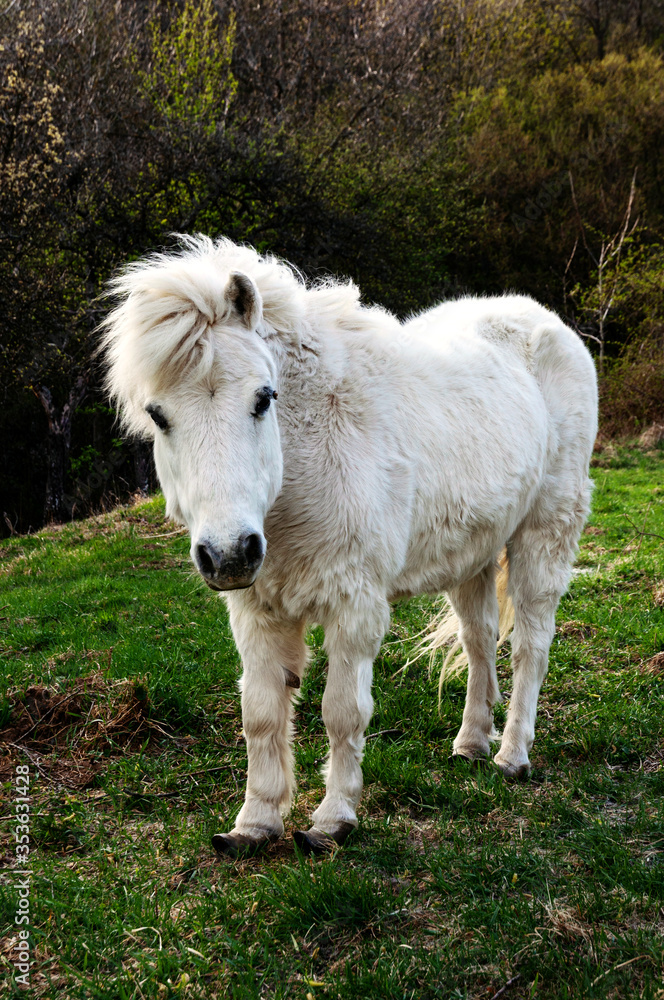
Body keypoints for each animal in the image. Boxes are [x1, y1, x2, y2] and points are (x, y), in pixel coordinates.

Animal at [101, 235, 598, 857]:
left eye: (263, 398)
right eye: (158, 415)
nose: (231, 553)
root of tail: (543, 320)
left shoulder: (354, 606)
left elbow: (341, 712)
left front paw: (331, 821)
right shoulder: (256, 609)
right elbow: (260, 714)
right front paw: (254, 824)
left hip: (544, 532)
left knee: (531, 644)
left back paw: (512, 756)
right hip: (475, 551)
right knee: (480, 639)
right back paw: (471, 745)